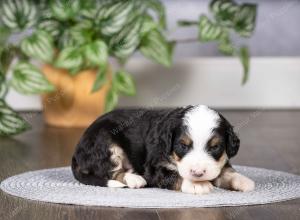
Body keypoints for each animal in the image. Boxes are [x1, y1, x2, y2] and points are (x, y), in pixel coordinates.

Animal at [71, 105, 254, 194]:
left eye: (215, 147)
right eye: (183, 146)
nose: (198, 173)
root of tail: (77, 150)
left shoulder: (219, 163)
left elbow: (226, 171)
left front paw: (243, 181)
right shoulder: (155, 167)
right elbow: (174, 175)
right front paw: (197, 185)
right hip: (107, 144)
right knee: (111, 172)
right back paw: (135, 179)